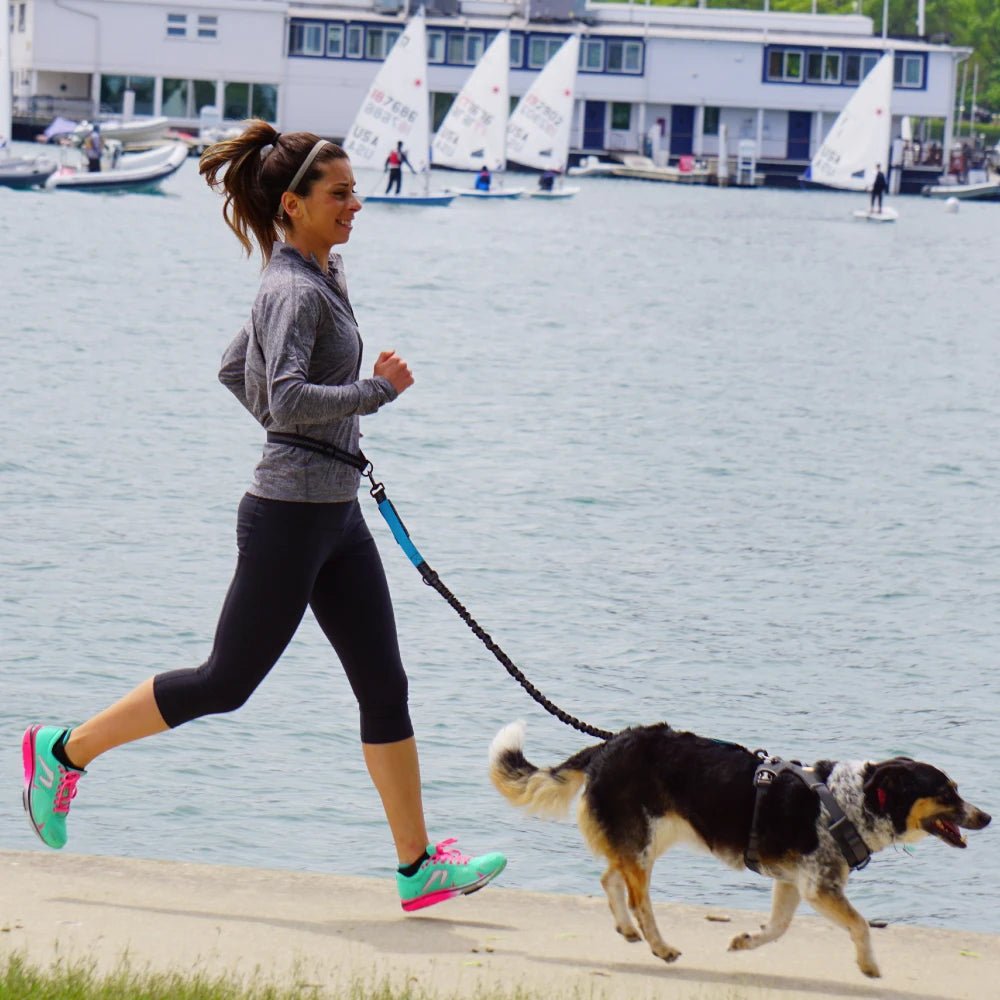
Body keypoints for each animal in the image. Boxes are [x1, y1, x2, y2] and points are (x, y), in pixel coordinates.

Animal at [488, 720, 988, 976]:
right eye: (947, 792)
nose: (985, 818)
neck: (854, 800)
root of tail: (608, 744)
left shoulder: (794, 883)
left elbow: (778, 928)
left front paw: (745, 941)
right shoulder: (820, 887)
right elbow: (862, 925)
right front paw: (868, 966)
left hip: (650, 838)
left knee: (611, 876)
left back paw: (628, 930)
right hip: (645, 840)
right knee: (638, 897)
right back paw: (659, 945)